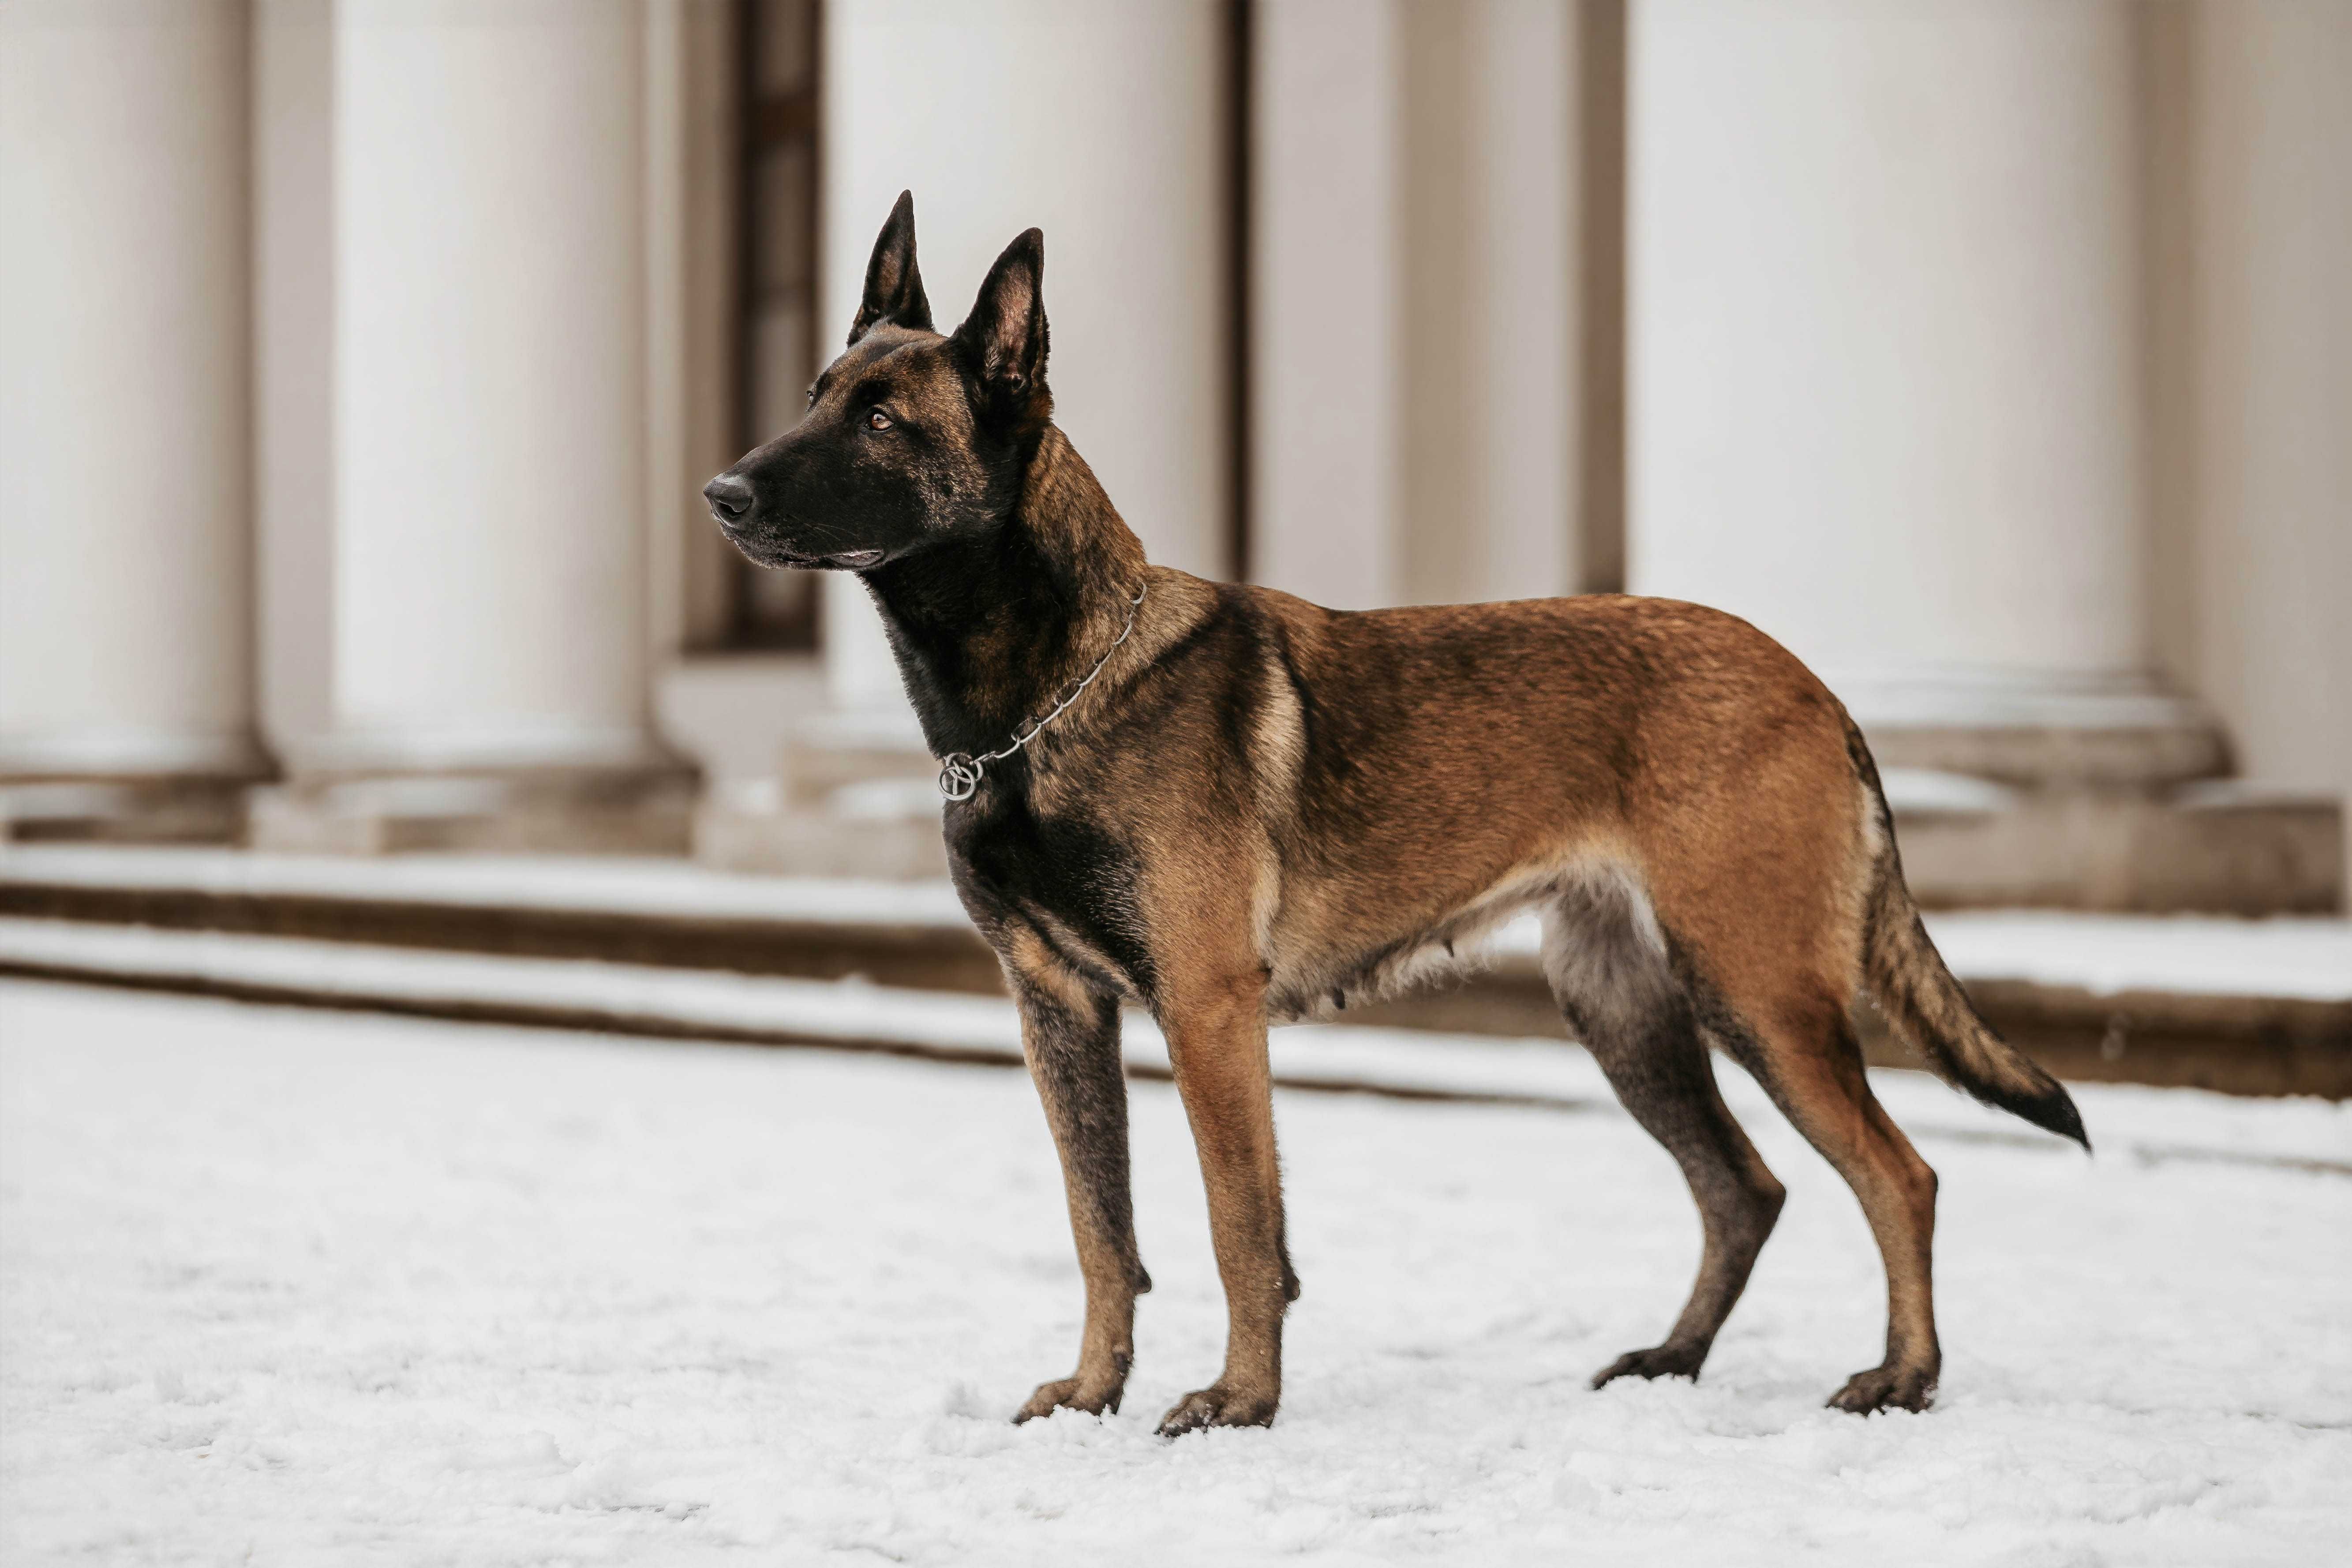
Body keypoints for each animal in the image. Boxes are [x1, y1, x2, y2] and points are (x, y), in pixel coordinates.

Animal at [705, 193, 2088, 1438]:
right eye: (815, 391)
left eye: (882, 419)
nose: (720, 492)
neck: (1047, 688)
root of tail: (1812, 681)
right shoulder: (1057, 1009)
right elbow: (1100, 1226)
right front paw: (1094, 1396)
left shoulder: (1206, 1011)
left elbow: (1236, 1222)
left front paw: (1240, 1402)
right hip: (1630, 1011)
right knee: (1744, 1188)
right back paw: (1672, 1362)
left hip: (1756, 990)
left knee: (1898, 1173)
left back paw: (1902, 1378)